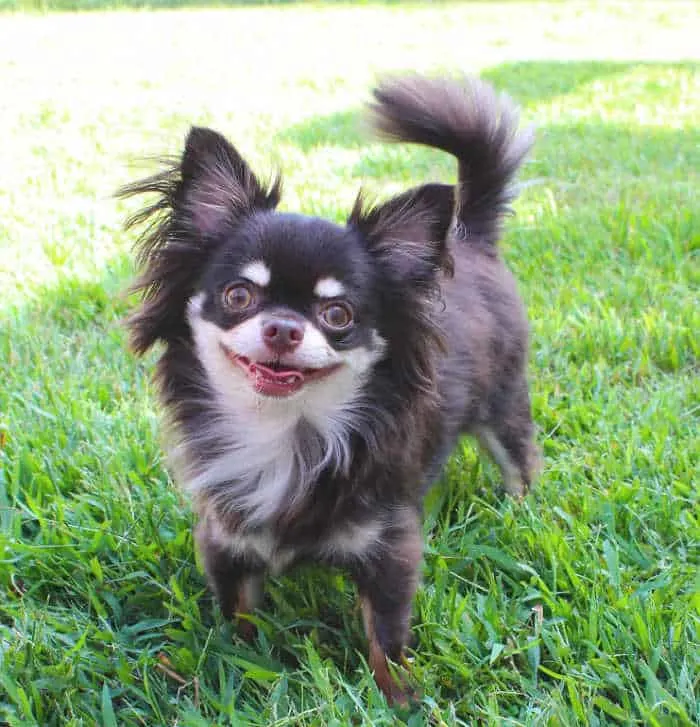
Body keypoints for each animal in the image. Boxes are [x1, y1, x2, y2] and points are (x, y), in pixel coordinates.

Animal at [120, 75, 540, 704]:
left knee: (518, 457)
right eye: (239, 295)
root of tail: (470, 237)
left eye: (337, 314)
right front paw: (237, 664)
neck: (287, 430)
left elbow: (385, 636)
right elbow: (238, 614)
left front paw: (400, 699)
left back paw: (519, 511)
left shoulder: (390, 546)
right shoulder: (225, 539)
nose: (283, 327)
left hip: (503, 404)